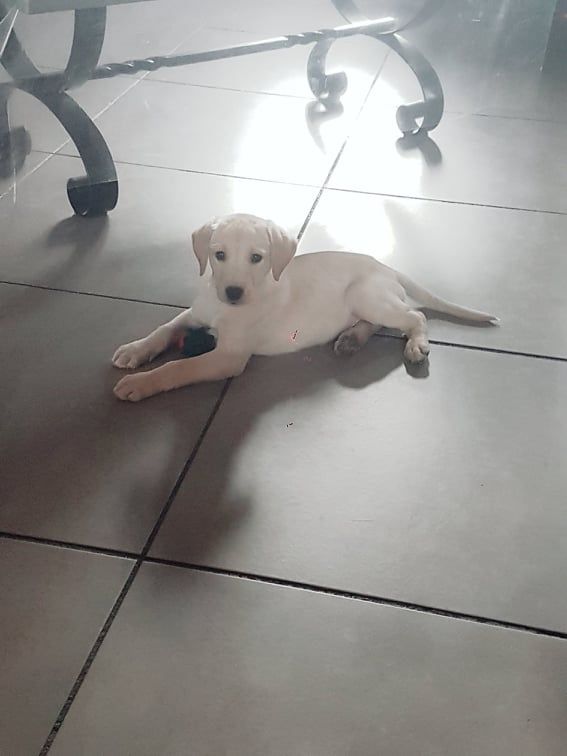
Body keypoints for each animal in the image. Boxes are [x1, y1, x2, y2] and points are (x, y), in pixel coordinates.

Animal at [112, 213, 497, 402]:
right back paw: (351, 339)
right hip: (370, 303)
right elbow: (165, 329)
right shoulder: (196, 314)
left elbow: (179, 368)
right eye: (218, 255)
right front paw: (134, 350)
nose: (233, 292)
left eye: (256, 258)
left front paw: (140, 383)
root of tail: (387, 267)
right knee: (377, 322)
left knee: (412, 316)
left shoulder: (228, 357)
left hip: (366, 295)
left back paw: (416, 344)